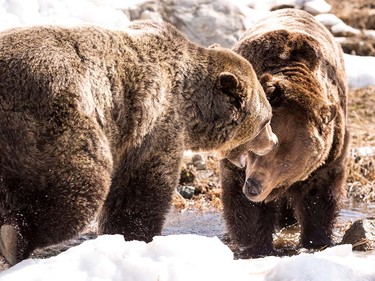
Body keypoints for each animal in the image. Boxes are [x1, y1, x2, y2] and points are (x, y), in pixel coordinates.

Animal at [0, 20, 276, 264]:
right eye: (266, 120)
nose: (273, 141)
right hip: (55, 118)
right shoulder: (153, 125)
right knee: (81, 183)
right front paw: (131, 236)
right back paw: (15, 240)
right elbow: (142, 187)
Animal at [222, 8, 352, 258]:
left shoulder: (329, 155)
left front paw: (316, 241)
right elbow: (245, 207)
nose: (253, 187)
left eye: (287, 163)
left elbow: (319, 199)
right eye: (258, 151)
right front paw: (255, 246)